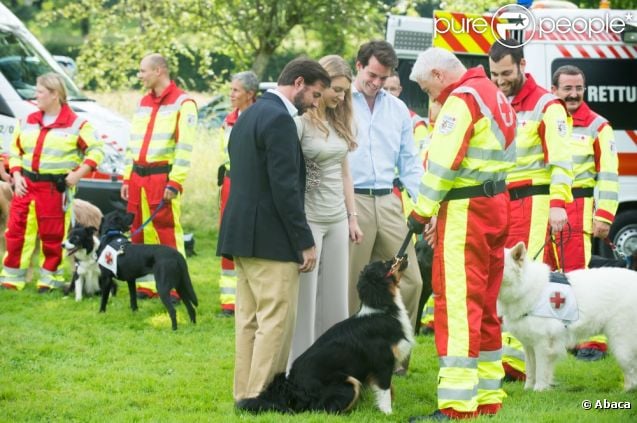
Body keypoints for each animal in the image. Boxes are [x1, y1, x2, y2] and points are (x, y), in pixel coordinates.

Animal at [237, 256, 412, 416]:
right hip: (348, 382)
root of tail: (291, 388)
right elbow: (385, 390)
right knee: (322, 409)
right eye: (386, 264)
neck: (382, 310)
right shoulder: (383, 362)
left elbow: (390, 389)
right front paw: (388, 413)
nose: (404, 256)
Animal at [500, 242, 632, 390]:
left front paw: (539, 389)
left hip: (622, 342)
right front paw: (528, 389)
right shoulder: (528, 345)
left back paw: (627, 390)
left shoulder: (542, 344)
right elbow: (530, 370)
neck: (525, 286)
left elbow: (540, 370)